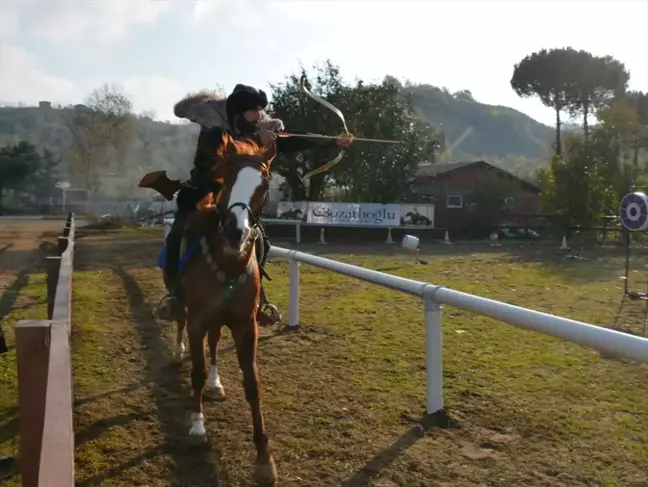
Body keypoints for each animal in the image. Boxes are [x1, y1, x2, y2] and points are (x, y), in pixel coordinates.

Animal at [170, 132, 278, 484]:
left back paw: (217, 385)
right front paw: (197, 428)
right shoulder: (197, 320)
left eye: (264, 184)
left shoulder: (246, 325)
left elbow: (252, 384)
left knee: (216, 344)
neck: (227, 263)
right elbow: (197, 372)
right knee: (179, 320)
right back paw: (178, 351)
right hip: (186, 307)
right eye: (226, 180)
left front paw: (264, 458)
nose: (235, 232)